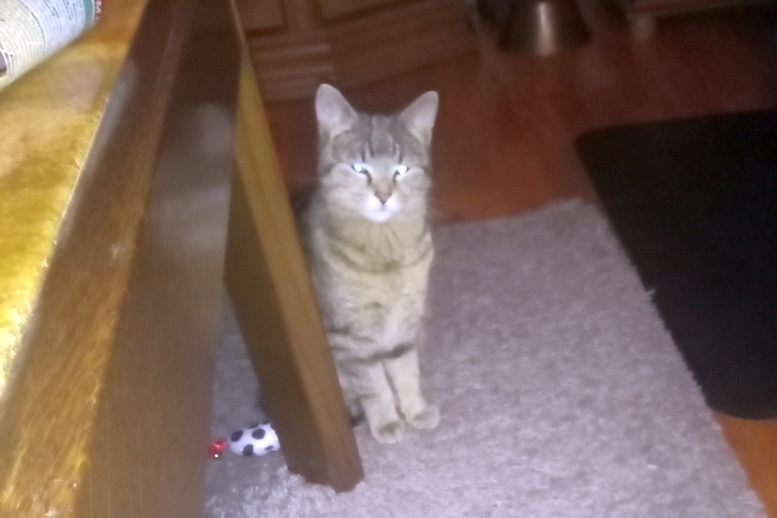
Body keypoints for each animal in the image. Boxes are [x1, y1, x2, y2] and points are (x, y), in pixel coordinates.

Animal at [299, 84, 440, 444]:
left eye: (401, 170)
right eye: (359, 168)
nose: (384, 195)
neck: (386, 255)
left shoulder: (403, 327)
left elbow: (406, 372)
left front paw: (415, 409)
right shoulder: (351, 339)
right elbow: (374, 387)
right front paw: (387, 421)